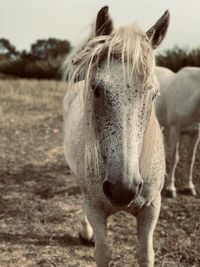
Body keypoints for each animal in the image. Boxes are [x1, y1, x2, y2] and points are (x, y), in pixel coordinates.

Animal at [63, 6, 170, 267]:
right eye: (96, 89)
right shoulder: (95, 209)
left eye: (154, 94)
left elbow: (146, 254)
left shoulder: (151, 208)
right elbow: (103, 253)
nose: (123, 189)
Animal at [156, 65, 200, 198]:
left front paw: (189, 187)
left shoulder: (195, 134)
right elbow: (174, 157)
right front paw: (171, 189)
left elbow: (190, 159)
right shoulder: (175, 130)